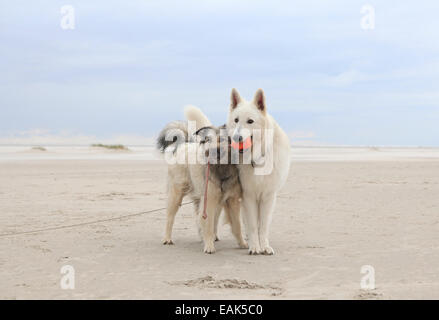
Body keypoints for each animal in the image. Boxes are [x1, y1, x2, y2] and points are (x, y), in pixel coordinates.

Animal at [227, 89, 292, 254]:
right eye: (236, 120)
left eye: (250, 121)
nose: (236, 138)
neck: (256, 157)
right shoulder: (248, 196)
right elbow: (252, 225)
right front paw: (255, 247)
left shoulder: (268, 197)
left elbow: (263, 226)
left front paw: (265, 246)